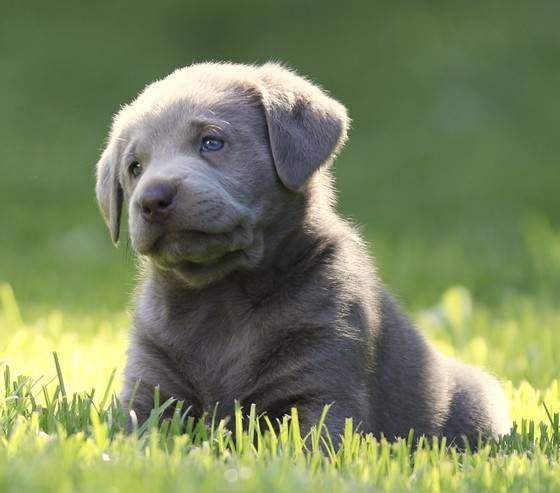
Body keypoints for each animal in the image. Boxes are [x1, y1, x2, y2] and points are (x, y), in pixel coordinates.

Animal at [97, 60, 512, 442]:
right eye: (134, 167)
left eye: (212, 142)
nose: (153, 199)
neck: (223, 294)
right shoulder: (150, 388)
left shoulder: (324, 383)